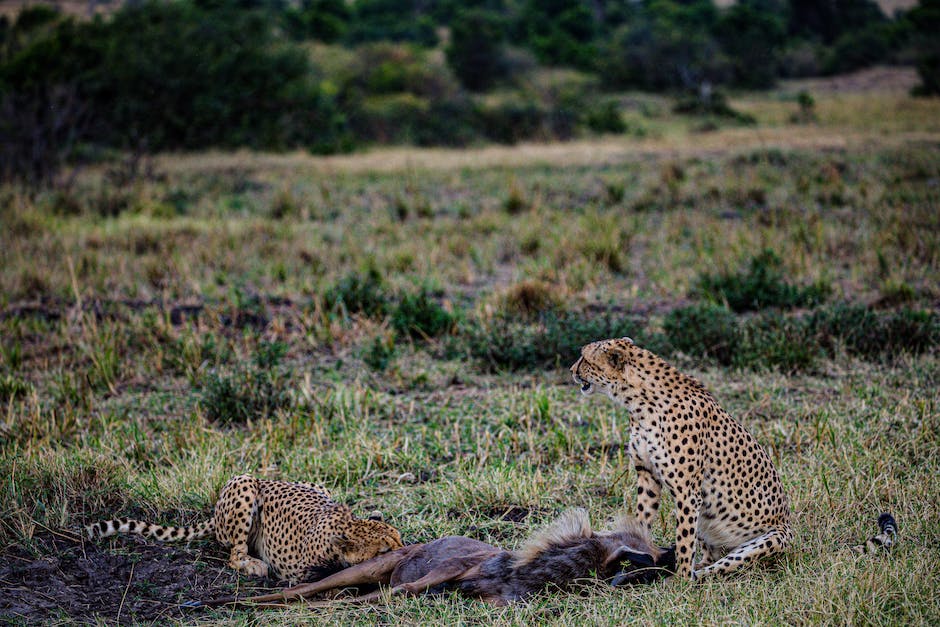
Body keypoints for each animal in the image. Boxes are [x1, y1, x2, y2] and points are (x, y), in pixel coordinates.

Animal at [89, 476, 408, 584]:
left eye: (399, 539)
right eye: (384, 550)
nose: (405, 553)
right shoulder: (296, 573)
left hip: (316, 484)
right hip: (243, 484)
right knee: (234, 553)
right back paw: (252, 565)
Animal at [572, 338, 792, 580]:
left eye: (584, 359)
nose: (571, 370)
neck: (639, 402)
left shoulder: (687, 492)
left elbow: (684, 540)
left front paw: (681, 578)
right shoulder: (648, 476)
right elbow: (642, 519)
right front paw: (637, 549)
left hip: (769, 539)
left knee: (717, 567)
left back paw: (688, 575)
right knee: (710, 556)